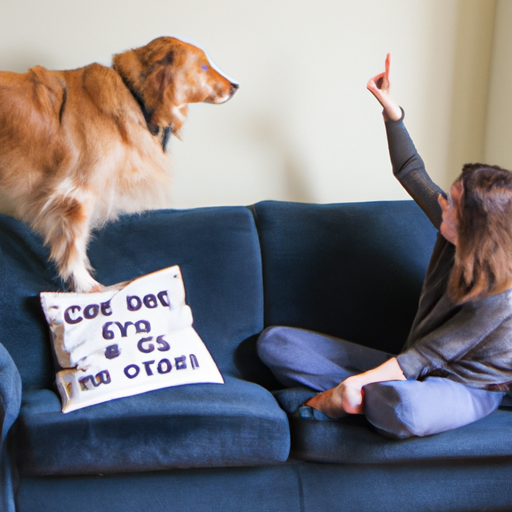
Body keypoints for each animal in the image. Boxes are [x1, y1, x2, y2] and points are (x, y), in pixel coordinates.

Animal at [0, 35, 239, 292]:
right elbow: (74, 245)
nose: (235, 86)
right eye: (204, 66)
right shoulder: (77, 192)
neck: (132, 93)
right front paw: (87, 286)